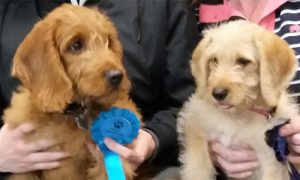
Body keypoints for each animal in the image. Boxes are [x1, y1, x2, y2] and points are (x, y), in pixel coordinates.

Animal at [178, 20, 300, 180]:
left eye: (243, 61)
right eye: (214, 60)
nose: (218, 94)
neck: (235, 116)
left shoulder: (271, 159)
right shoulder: (194, 126)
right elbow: (198, 167)